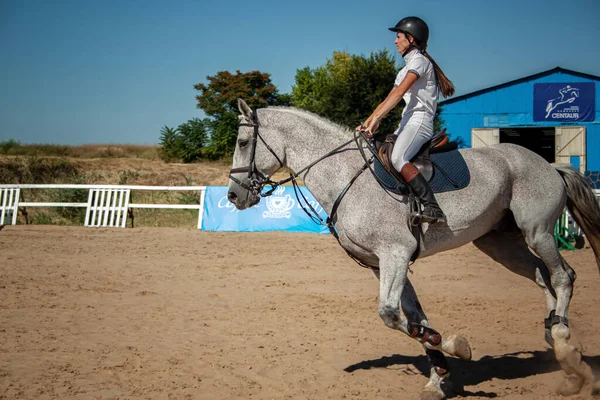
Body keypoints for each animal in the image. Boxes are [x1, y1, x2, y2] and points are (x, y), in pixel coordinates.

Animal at [226, 97, 600, 400]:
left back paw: (563, 341)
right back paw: (558, 342)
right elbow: (415, 317)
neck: (345, 177)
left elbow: (391, 315)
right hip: (498, 244)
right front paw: (438, 376)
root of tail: (549, 164)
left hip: (537, 232)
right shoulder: (383, 263)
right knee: (542, 276)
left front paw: (454, 346)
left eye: (243, 142)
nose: (232, 196)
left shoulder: (395, 254)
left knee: (563, 276)